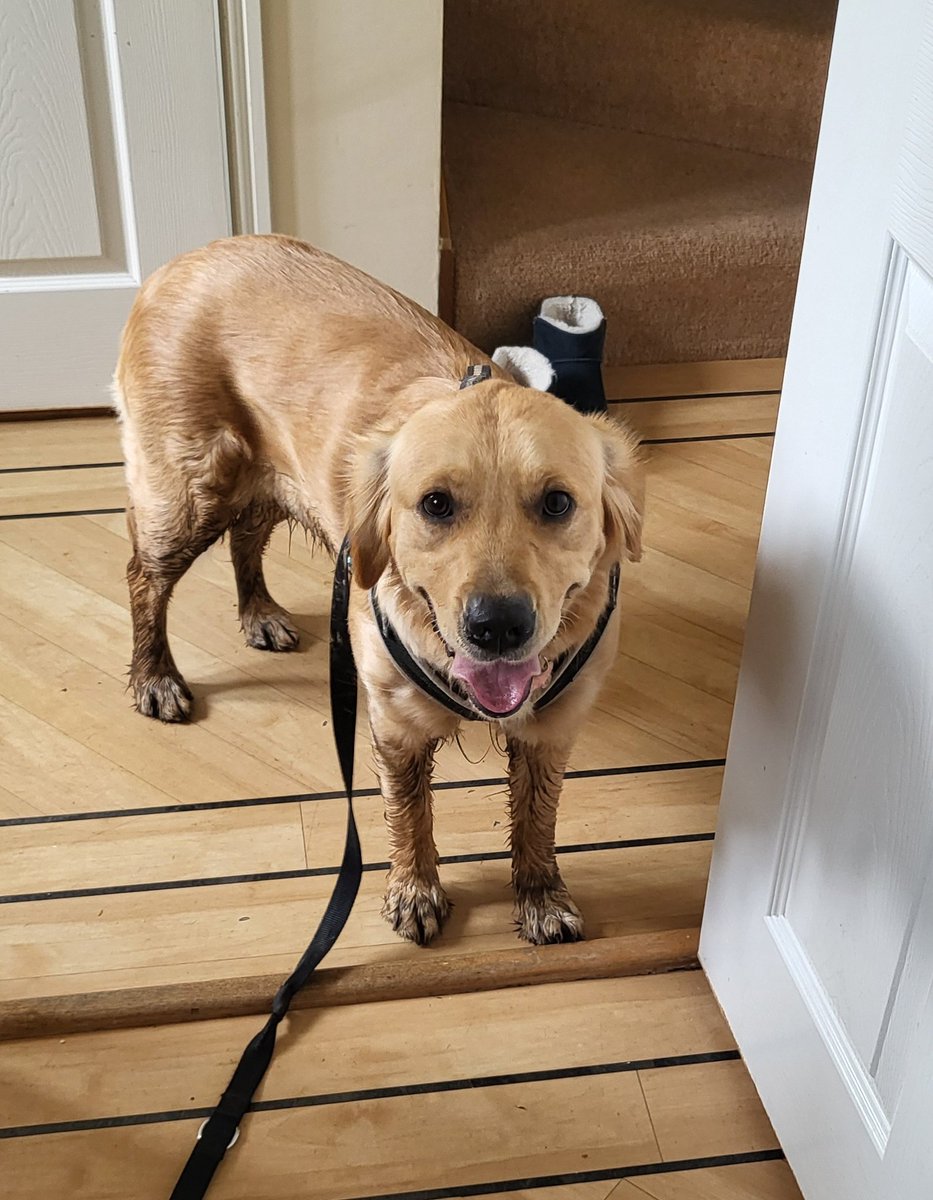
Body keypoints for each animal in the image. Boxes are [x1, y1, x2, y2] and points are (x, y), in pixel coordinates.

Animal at [114, 234, 637, 945]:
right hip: (190, 489)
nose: (497, 626)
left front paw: (540, 893)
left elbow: (537, 817)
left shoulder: (551, 727)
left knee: (247, 537)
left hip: (268, 477)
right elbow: (410, 815)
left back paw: (259, 613)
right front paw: (415, 891)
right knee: (145, 579)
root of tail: (188, 256)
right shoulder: (396, 725)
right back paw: (154, 676)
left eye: (558, 502)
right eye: (436, 503)